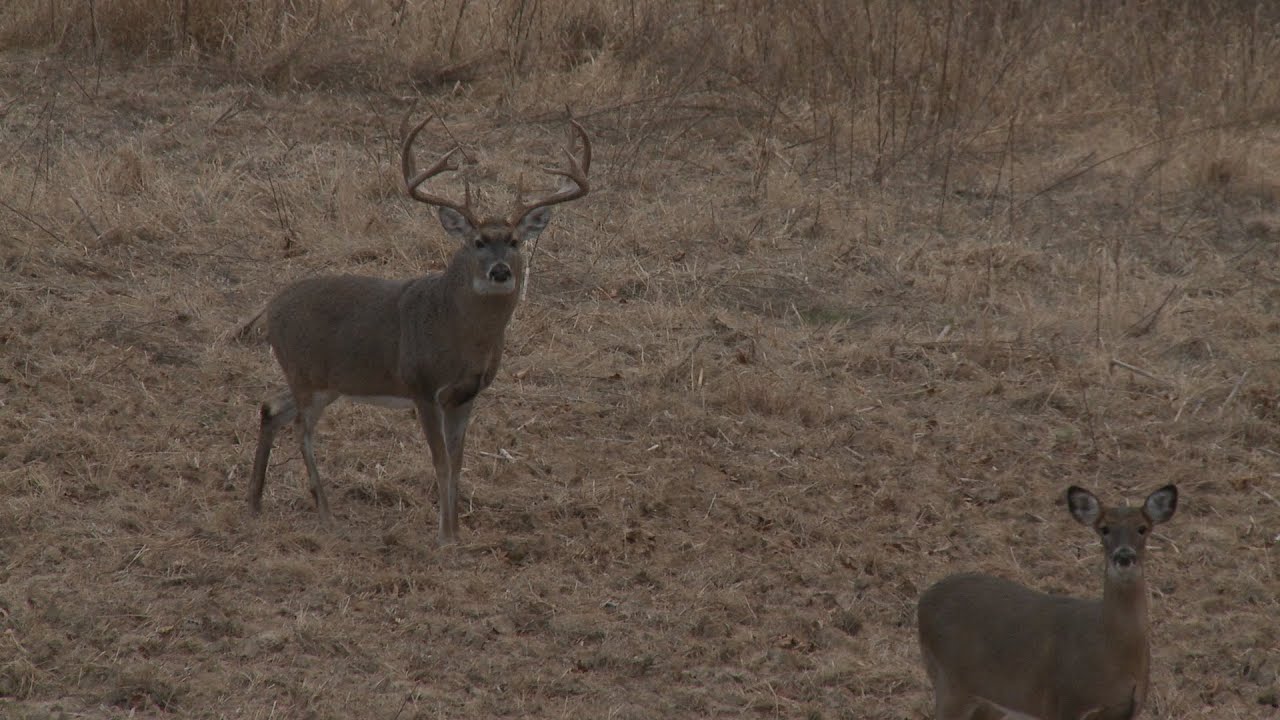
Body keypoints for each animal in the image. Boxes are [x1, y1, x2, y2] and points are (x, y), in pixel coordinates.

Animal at [240, 113, 591, 545]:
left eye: (513, 241)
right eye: (477, 242)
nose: (500, 271)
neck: (459, 336)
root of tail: (269, 308)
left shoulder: (466, 395)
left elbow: (457, 464)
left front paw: (457, 532)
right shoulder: (421, 386)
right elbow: (439, 462)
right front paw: (444, 537)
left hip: (323, 381)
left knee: (271, 407)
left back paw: (254, 503)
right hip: (305, 374)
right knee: (301, 428)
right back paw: (325, 513)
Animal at [916, 484, 1179, 720]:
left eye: (1142, 528)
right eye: (1104, 529)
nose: (1124, 556)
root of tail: (924, 601)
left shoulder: (1129, 709)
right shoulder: (1065, 702)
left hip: (988, 699)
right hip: (950, 680)